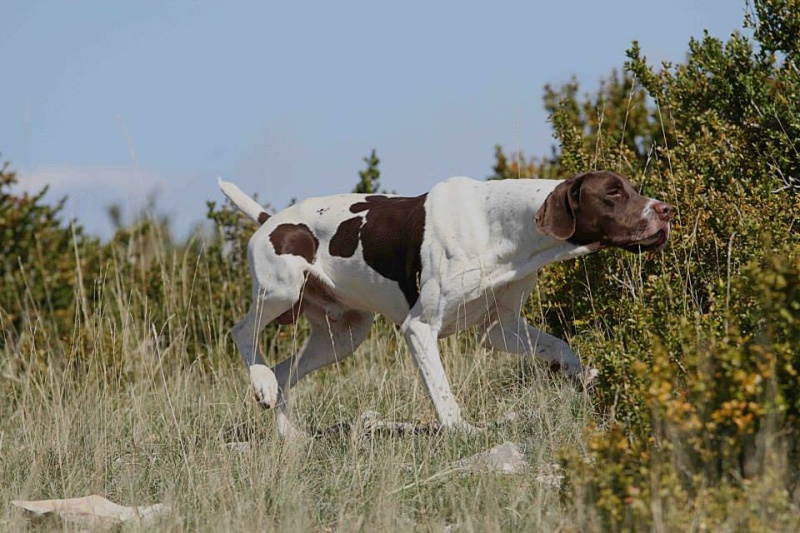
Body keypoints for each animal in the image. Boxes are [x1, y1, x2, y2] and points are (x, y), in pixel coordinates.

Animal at [217, 171, 668, 436]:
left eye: (631, 188)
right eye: (612, 193)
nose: (665, 209)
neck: (504, 227)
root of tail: (270, 220)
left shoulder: (500, 328)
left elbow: (562, 348)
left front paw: (590, 381)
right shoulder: (420, 329)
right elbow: (442, 391)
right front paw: (463, 431)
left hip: (342, 335)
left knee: (284, 373)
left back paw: (288, 431)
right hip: (282, 289)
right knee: (242, 332)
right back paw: (260, 382)